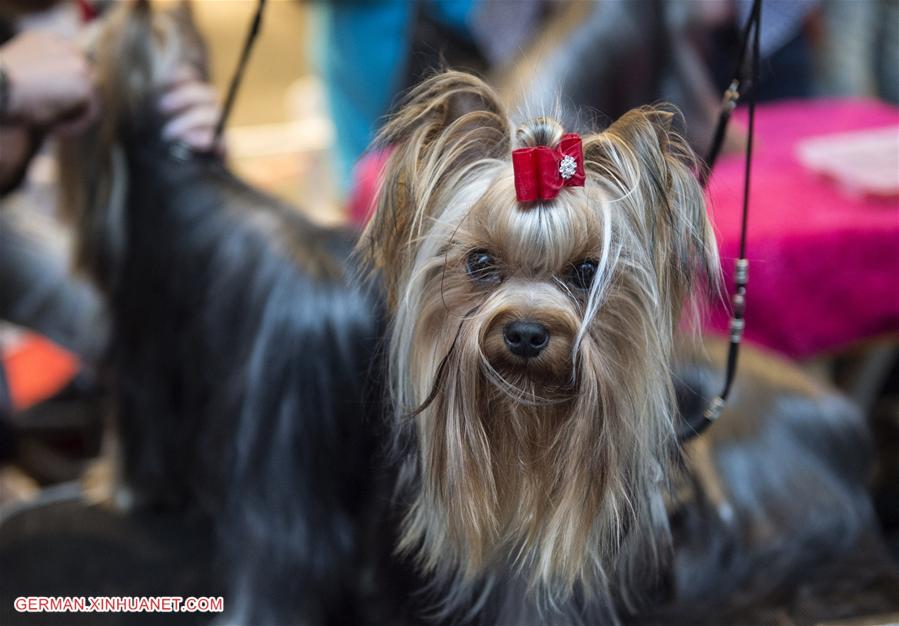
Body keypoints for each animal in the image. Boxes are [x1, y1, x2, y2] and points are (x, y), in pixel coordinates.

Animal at [58, 2, 388, 620]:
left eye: (92, 51)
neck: (167, 150)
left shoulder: (145, 348)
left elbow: (143, 433)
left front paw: (121, 489)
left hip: (279, 437)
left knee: (282, 546)